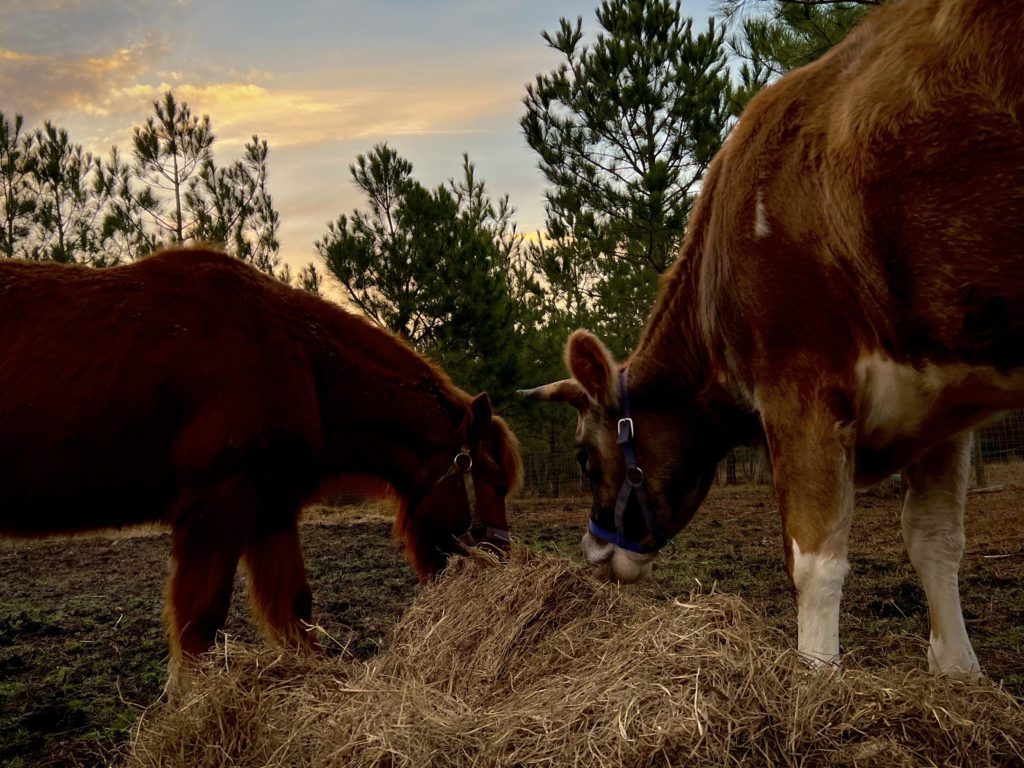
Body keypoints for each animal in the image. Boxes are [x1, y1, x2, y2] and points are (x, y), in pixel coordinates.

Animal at [0, 246, 520, 692]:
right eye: (492, 482)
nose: (503, 560)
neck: (296, 358)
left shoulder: (272, 507)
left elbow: (294, 605)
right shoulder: (218, 504)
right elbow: (202, 621)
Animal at [520, 0, 1024, 671]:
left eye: (582, 456)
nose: (592, 551)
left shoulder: (799, 384)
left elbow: (814, 563)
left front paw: (815, 678)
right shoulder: (942, 403)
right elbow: (935, 541)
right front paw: (960, 675)